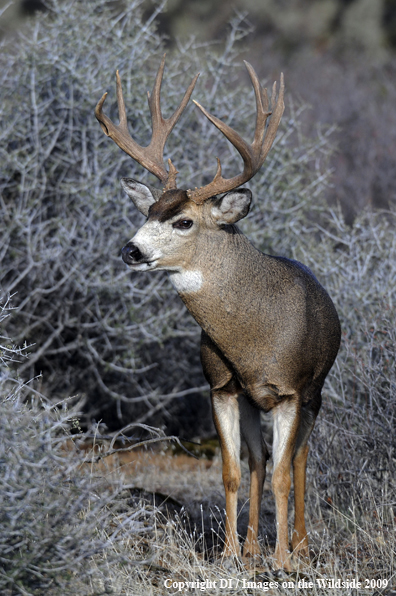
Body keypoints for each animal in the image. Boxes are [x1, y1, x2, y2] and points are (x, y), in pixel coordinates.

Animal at [95, 57, 340, 572]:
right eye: (148, 211)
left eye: (183, 220)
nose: (131, 250)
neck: (252, 340)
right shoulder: (222, 387)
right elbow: (231, 469)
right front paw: (228, 554)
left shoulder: (291, 390)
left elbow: (286, 472)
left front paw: (283, 560)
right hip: (251, 401)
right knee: (259, 458)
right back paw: (250, 548)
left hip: (316, 391)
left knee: (299, 459)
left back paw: (301, 547)